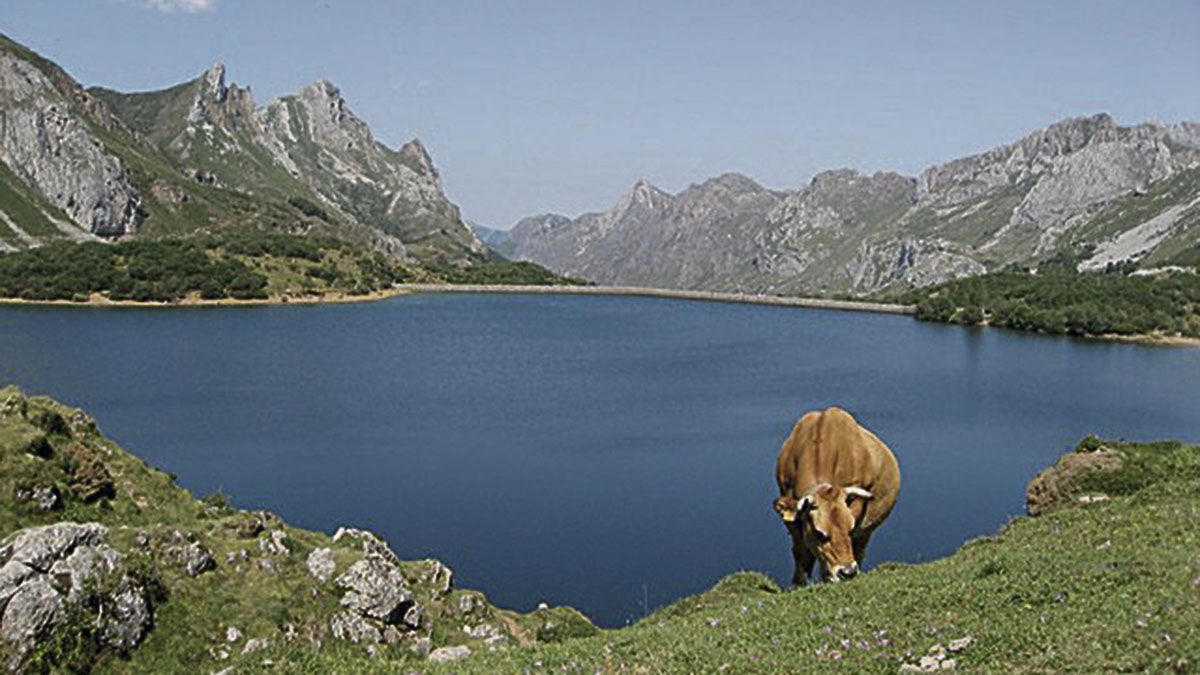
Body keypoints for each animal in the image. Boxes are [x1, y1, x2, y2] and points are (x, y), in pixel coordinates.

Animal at [772, 403, 897, 583]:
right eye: (819, 533)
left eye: (850, 530)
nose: (848, 572)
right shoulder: (789, 510)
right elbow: (801, 553)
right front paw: (799, 583)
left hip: (867, 531)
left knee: (860, 549)